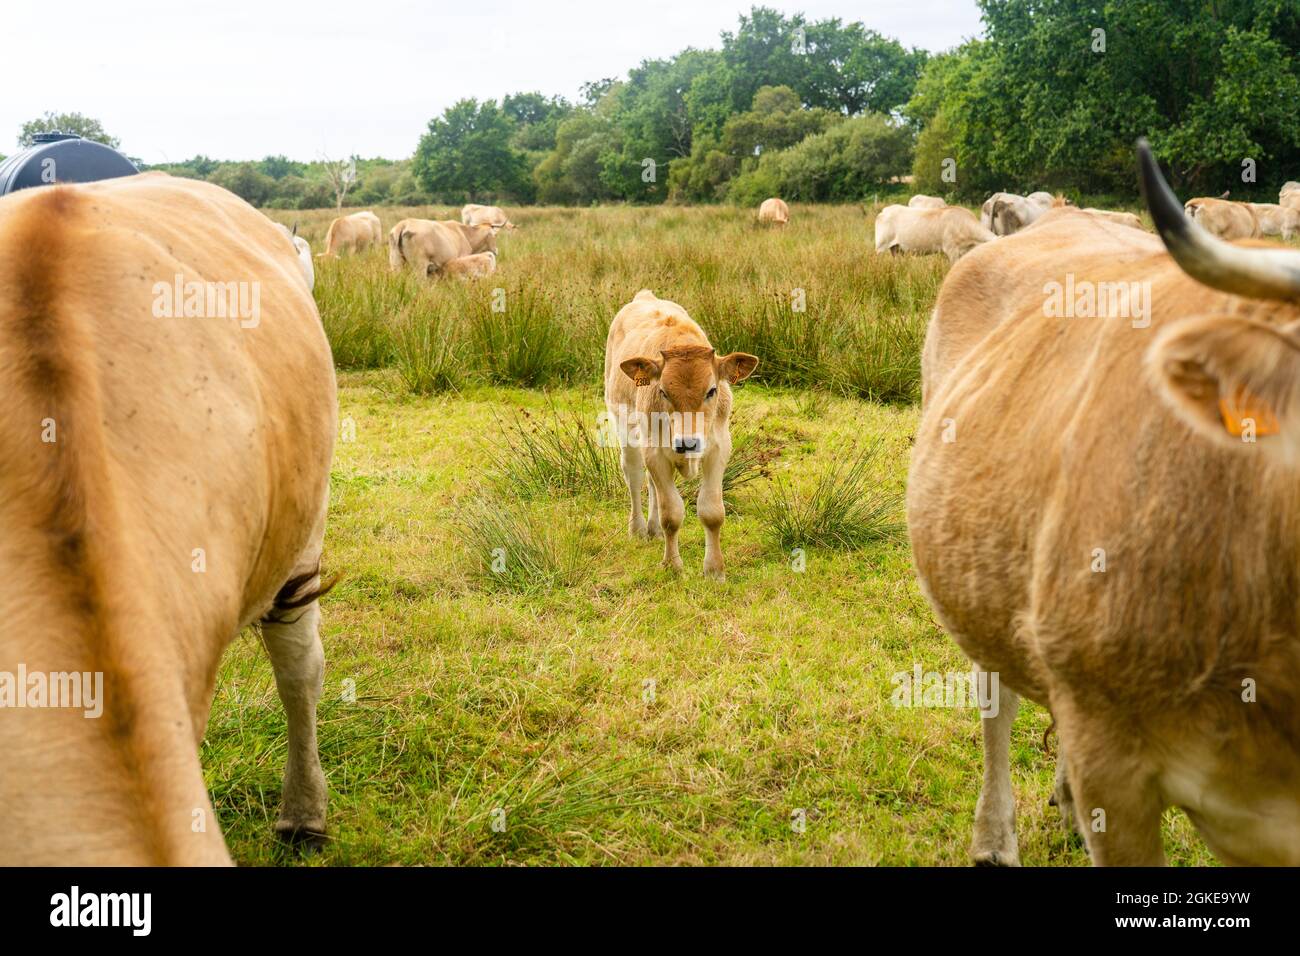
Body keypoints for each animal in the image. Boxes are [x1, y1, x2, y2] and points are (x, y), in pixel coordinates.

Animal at [603, 290, 758, 581]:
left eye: (711, 390)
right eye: (663, 391)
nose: (688, 443)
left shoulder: (718, 449)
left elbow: (712, 511)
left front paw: (714, 570)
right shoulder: (655, 451)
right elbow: (672, 515)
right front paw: (673, 566)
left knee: (651, 486)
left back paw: (652, 529)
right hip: (626, 431)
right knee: (634, 477)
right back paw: (638, 529)